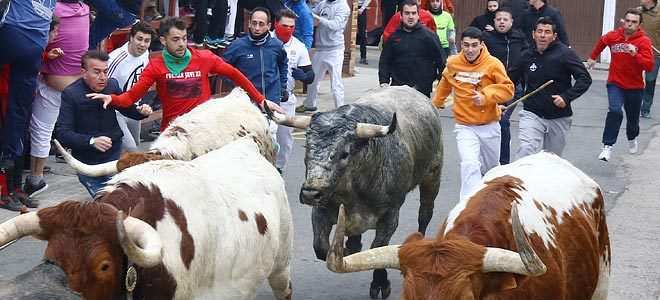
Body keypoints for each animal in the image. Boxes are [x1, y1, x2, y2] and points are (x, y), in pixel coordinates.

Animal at [274, 86, 444, 298]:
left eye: (344, 153)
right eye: (307, 147)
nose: (310, 194)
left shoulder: (390, 215)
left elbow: (378, 248)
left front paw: (380, 283)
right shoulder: (320, 210)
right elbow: (320, 247)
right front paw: (348, 253)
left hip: (432, 176)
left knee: (425, 213)